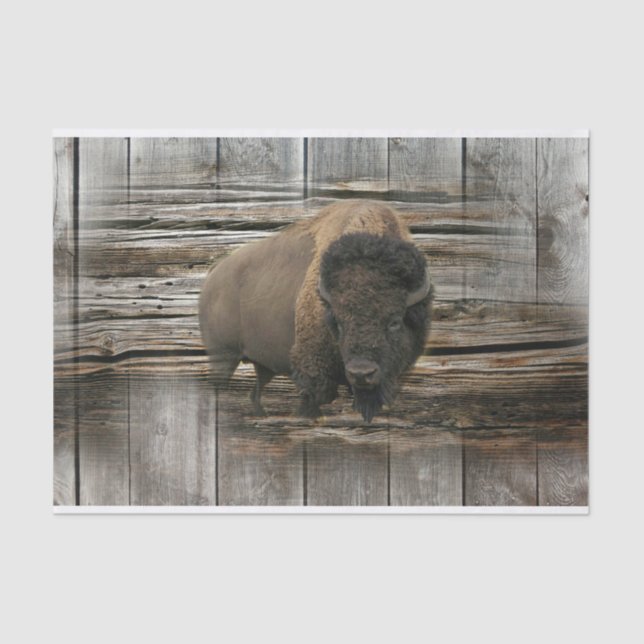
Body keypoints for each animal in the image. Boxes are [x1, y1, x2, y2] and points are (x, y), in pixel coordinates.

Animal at [199, 200, 433, 422]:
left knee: (255, 393)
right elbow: (312, 399)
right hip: (223, 356)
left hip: (259, 364)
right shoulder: (313, 370)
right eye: (338, 322)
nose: (361, 372)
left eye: (394, 322)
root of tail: (214, 273)